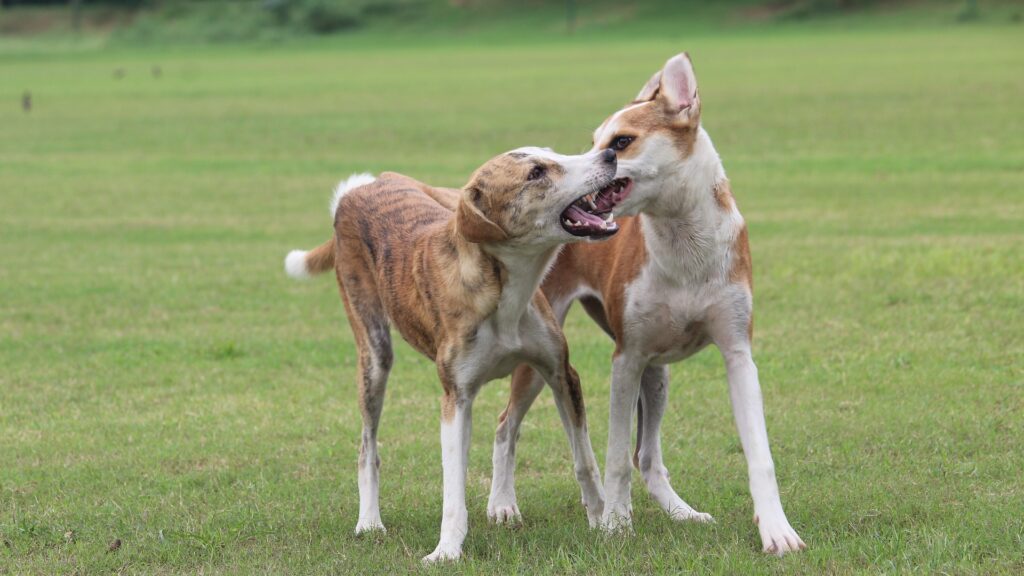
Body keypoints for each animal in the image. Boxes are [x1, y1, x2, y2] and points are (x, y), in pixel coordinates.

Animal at [284, 144, 626, 561]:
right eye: (535, 174)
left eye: (551, 153)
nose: (609, 154)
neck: (502, 287)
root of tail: (356, 191)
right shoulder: (454, 398)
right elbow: (452, 488)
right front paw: (446, 549)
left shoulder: (561, 373)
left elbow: (584, 460)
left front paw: (604, 522)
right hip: (374, 354)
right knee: (368, 445)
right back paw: (369, 521)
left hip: (528, 372)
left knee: (502, 430)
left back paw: (502, 503)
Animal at [487, 53, 806, 553]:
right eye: (596, 141)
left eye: (622, 141)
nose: (591, 164)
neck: (683, 240)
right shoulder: (627, 359)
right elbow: (616, 456)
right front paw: (616, 524)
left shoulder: (738, 354)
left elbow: (760, 455)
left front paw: (777, 530)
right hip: (543, 357)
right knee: (506, 424)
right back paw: (502, 505)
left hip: (658, 375)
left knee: (648, 456)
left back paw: (682, 512)